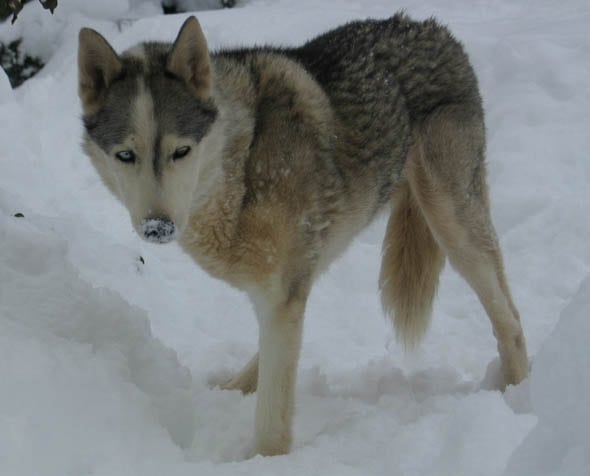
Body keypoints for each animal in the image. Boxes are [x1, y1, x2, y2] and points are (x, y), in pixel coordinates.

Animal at [77, 13, 528, 456]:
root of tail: (434, 27)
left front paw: (263, 461)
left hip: (452, 225)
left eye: (181, 151)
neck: (242, 164)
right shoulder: (282, 291)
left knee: (510, 317)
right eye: (125, 155)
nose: (158, 228)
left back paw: (521, 392)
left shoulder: (282, 296)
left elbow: (272, 422)